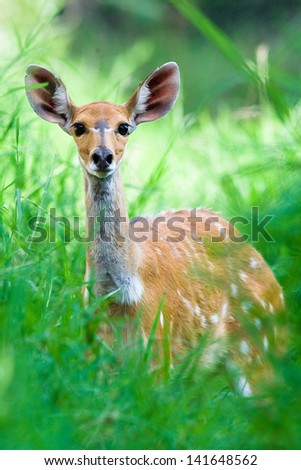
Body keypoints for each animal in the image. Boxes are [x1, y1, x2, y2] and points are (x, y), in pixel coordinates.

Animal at [25, 61, 284, 392]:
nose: (103, 156)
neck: (120, 295)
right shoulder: (94, 350)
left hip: (260, 343)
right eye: (78, 127)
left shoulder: (160, 350)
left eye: (123, 127)